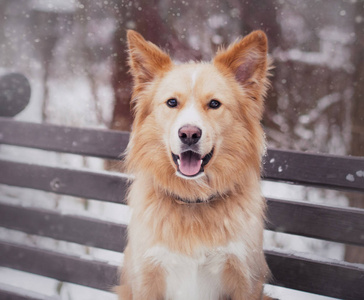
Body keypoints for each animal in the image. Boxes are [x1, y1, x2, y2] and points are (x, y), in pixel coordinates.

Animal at [115, 28, 272, 300]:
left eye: (214, 104)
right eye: (171, 103)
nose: (189, 134)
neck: (193, 200)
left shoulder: (247, 279)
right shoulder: (146, 278)